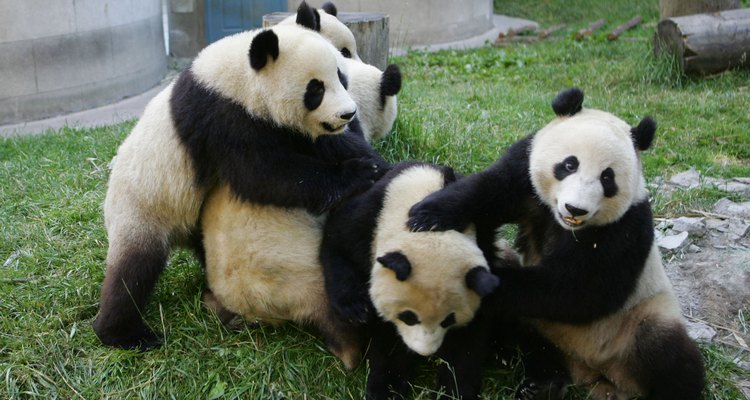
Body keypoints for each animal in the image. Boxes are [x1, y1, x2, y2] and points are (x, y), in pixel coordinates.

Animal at [92, 3, 382, 354]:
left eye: (340, 76)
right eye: (316, 89)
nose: (347, 114)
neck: (238, 77)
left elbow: (317, 145)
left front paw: (367, 158)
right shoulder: (223, 119)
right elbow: (263, 175)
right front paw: (359, 172)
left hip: (191, 221)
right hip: (142, 209)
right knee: (133, 270)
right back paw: (123, 333)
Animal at [322, 161, 500, 398]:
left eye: (448, 320)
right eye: (408, 317)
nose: (424, 351)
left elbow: (470, 336)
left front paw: (453, 390)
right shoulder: (368, 218)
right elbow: (338, 245)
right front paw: (386, 387)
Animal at [408, 88, 708, 400]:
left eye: (607, 177)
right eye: (569, 164)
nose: (575, 209)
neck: (565, 225)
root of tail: (593, 374)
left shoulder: (626, 229)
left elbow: (579, 291)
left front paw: (487, 278)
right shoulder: (525, 172)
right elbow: (488, 190)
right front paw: (427, 215)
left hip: (640, 318)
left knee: (668, 354)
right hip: (540, 327)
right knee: (533, 343)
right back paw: (541, 383)